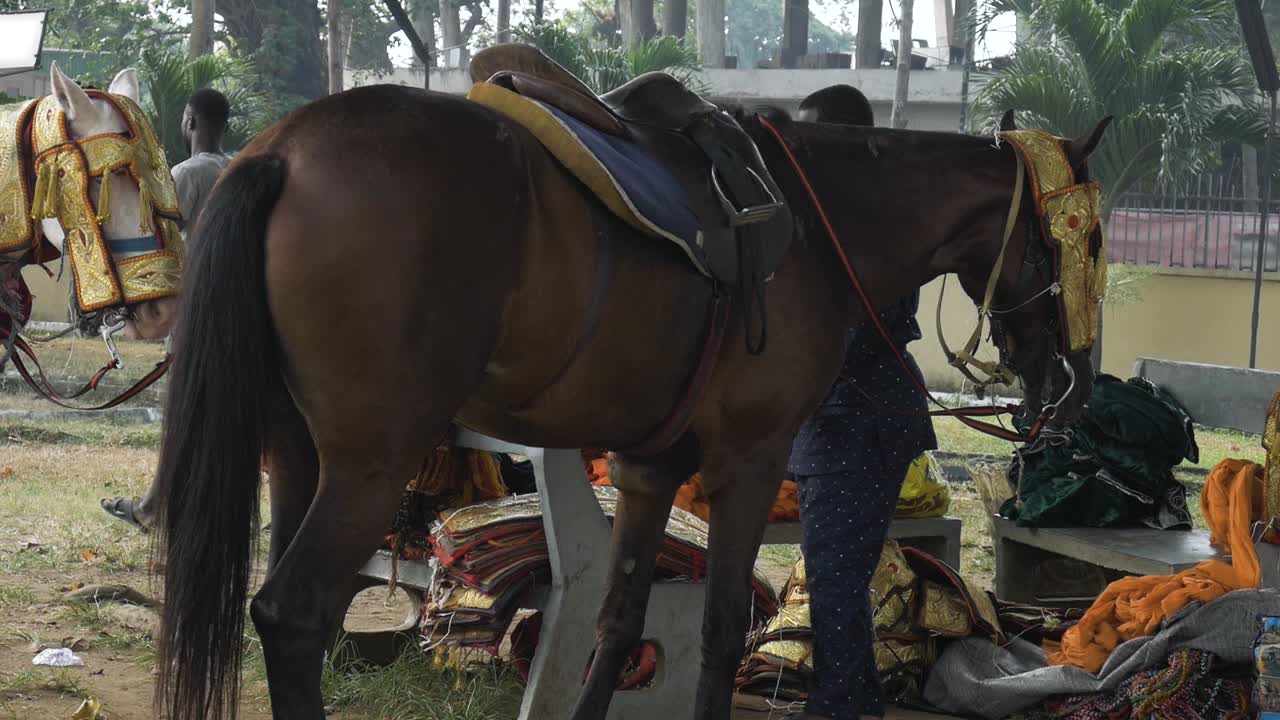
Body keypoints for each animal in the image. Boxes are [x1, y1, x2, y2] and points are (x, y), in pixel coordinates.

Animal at [151, 78, 1109, 720]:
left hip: (294, 453)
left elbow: (617, 623)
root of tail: (283, 150)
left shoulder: (650, 466)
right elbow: (720, 631)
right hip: (371, 464)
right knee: (292, 615)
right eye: (1092, 238)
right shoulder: (750, 459)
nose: (1074, 384)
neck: (820, 221)